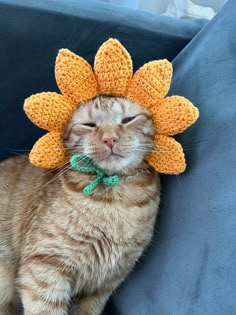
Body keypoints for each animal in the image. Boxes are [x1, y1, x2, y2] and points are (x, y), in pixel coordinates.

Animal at [0, 96, 160, 315]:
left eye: (128, 119)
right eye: (89, 125)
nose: (110, 139)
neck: (114, 202)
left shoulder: (103, 286)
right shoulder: (46, 268)